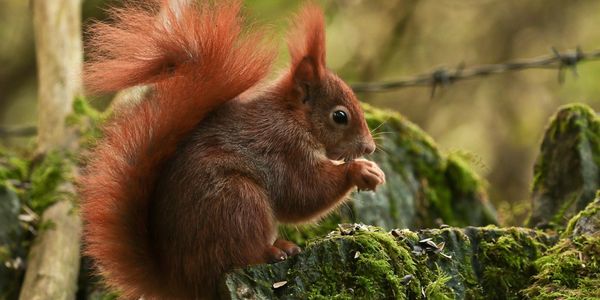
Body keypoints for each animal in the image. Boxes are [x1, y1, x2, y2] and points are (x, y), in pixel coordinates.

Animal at [79, 1, 384, 298]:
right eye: (340, 116)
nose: (369, 148)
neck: (293, 117)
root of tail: (181, 282)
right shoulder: (283, 147)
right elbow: (302, 193)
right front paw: (361, 170)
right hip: (237, 200)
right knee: (237, 255)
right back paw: (273, 250)